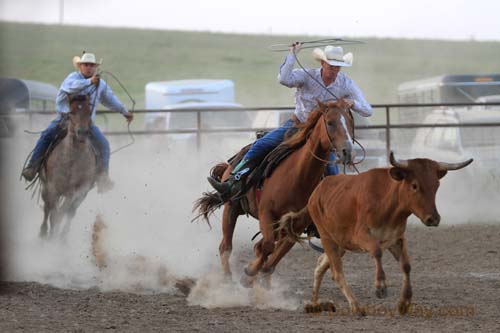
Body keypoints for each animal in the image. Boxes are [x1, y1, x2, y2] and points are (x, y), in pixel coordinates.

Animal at [38, 93, 98, 237]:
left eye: (89, 111)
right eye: (72, 112)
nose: (82, 132)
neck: (71, 160)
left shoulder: (76, 191)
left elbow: (62, 213)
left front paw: (55, 236)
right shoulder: (52, 187)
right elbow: (53, 212)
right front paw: (49, 235)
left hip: (80, 195)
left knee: (69, 212)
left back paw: (62, 237)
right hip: (45, 186)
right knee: (47, 207)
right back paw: (43, 232)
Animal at [194, 99, 356, 286]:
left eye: (350, 122)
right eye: (329, 122)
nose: (347, 151)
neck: (298, 176)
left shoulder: (296, 225)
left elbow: (276, 254)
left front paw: (255, 275)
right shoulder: (266, 213)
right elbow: (268, 246)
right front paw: (249, 273)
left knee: (257, 247)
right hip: (232, 207)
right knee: (225, 247)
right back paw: (228, 281)